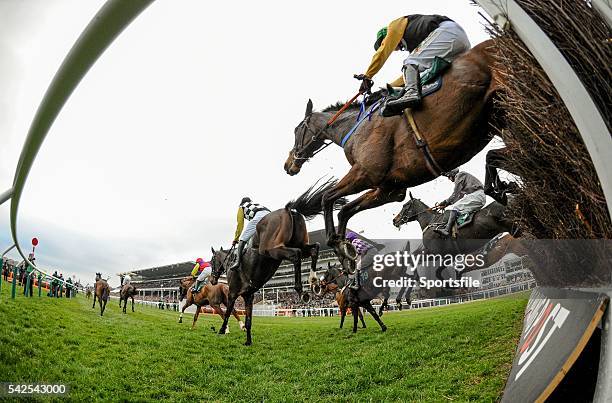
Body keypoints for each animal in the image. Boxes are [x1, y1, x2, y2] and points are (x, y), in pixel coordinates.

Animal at [209, 181, 344, 348]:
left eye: (211, 262)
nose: (212, 279)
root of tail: (288, 210)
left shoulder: (233, 293)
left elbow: (228, 311)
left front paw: (222, 330)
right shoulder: (249, 296)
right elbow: (248, 320)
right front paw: (248, 341)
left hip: (272, 249)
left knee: (296, 255)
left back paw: (301, 290)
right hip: (298, 243)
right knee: (314, 248)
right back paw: (314, 282)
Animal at [284, 40, 504, 256]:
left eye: (296, 130)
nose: (288, 165)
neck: (355, 128)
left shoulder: (365, 173)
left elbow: (327, 197)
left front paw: (336, 242)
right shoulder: (390, 189)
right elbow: (346, 210)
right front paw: (345, 246)